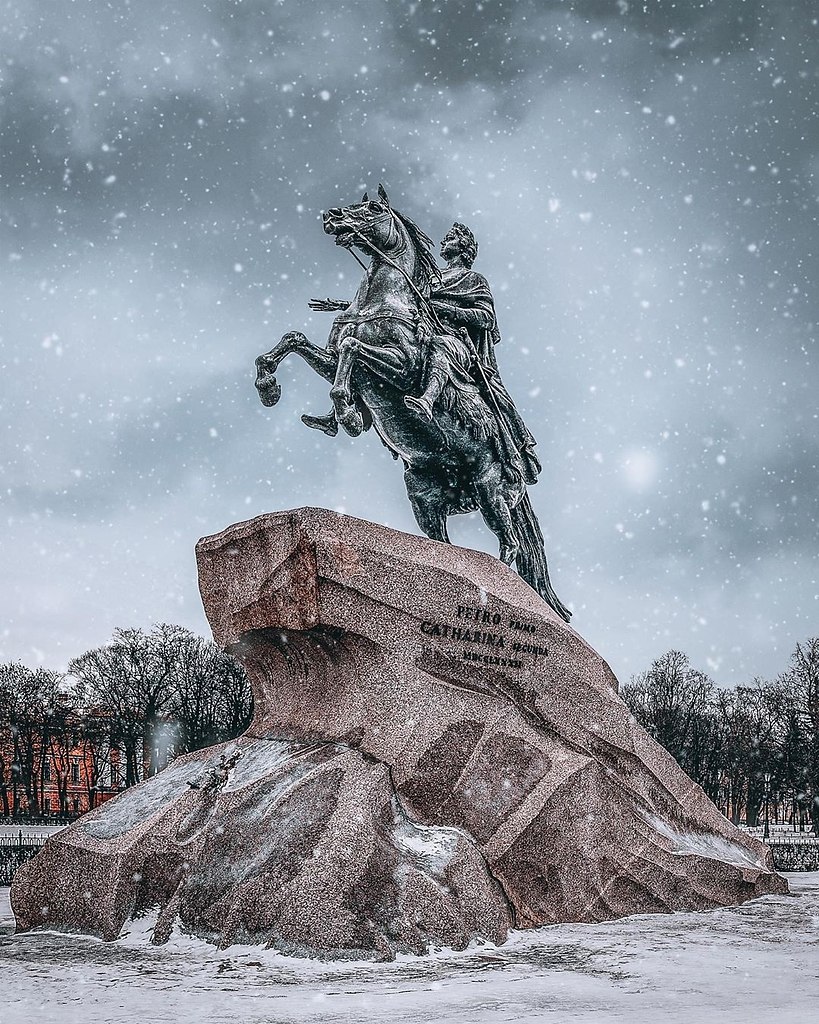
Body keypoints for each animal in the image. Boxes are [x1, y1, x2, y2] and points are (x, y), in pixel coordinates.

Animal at [253, 190, 569, 622]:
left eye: (373, 209)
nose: (331, 216)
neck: (379, 300)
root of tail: (521, 471)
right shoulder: (331, 361)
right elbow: (296, 340)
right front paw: (269, 386)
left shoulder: (402, 366)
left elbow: (354, 349)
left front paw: (347, 413)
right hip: (425, 500)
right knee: (447, 545)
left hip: (491, 491)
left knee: (511, 547)